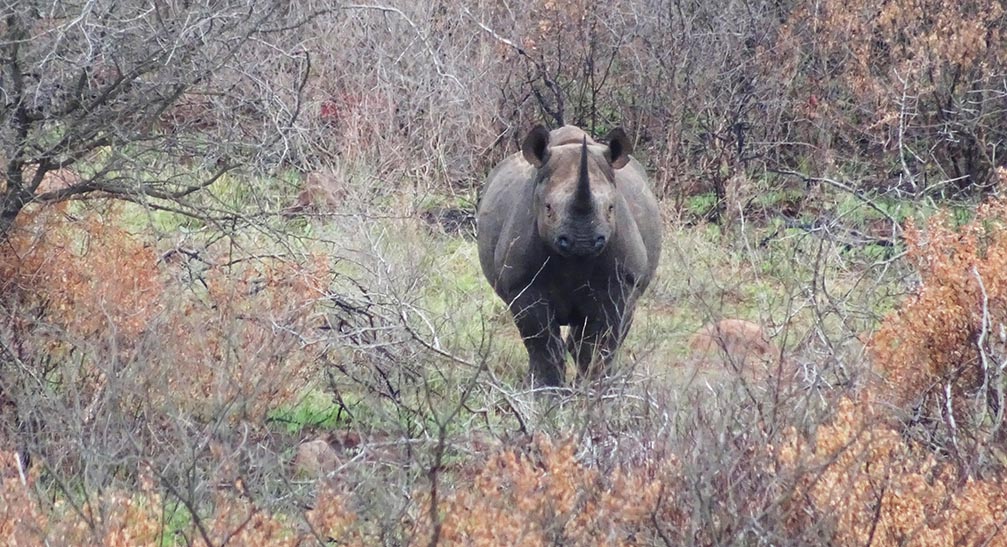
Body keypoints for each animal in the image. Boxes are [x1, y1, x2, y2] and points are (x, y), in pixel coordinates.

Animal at [477, 125, 660, 386]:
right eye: (548, 208)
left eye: (611, 208)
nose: (582, 242)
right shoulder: (522, 285)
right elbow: (543, 345)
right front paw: (546, 391)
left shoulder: (622, 283)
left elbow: (599, 345)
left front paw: (595, 390)